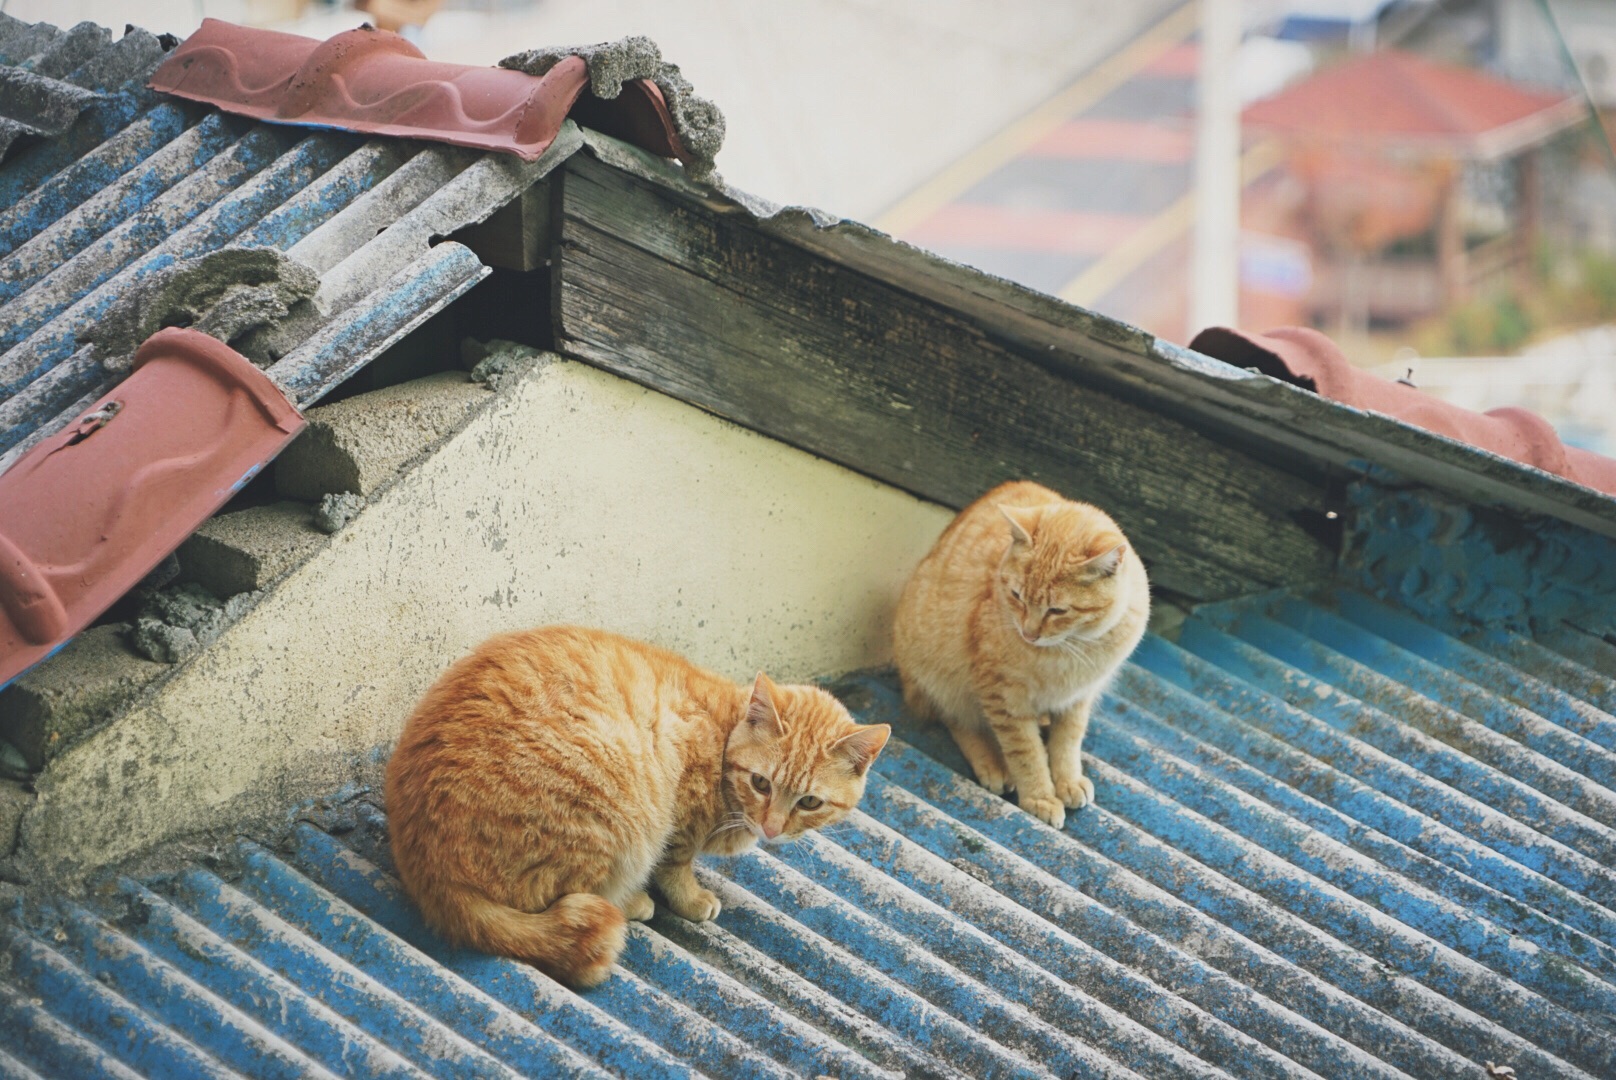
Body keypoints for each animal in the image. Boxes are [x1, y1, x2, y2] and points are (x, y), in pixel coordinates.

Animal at [384, 624, 892, 989]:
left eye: (809, 801)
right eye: (761, 783)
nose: (770, 828)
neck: (724, 732)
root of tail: (433, 877)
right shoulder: (681, 812)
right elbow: (676, 863)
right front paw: (690, 897)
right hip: (616, 814)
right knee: (568, 892)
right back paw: (631, 901)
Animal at [892, 478, 1144, 827]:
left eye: (1057, 610)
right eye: (1017, 596)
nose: (1029, 633)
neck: (1072, 647)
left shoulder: (1079, 697)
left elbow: (1068, 740)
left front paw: (1067, 780)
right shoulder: (1003, 695)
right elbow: (1025, 751)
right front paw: (1040, 796)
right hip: (941, 678)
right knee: (957, 720)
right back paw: (994, 765)